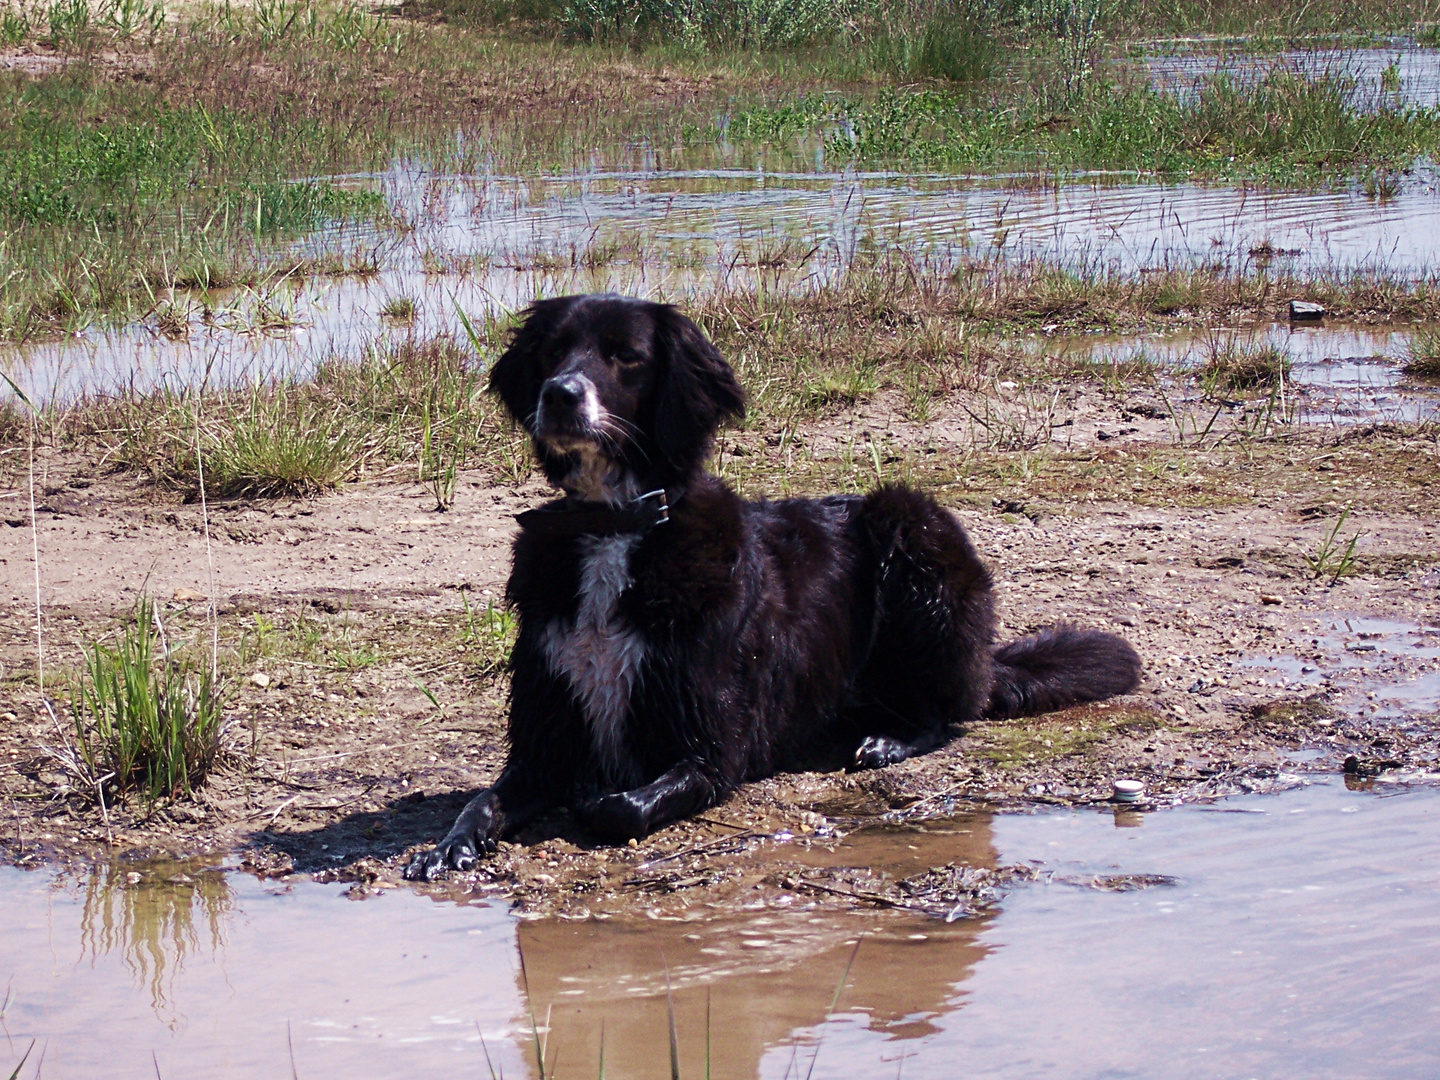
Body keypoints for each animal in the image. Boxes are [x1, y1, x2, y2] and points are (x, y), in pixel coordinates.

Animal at [403, 293, 1134, 881]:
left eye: (626, 356)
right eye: (553, 350)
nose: (558, 393)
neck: (616, 526)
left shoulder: (712, 752)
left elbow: (621, 808)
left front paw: (592, 803)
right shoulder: (541, 742)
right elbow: (482, 801)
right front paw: (449, 847)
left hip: (912, 525)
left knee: (957, 709)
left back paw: (891, 740)